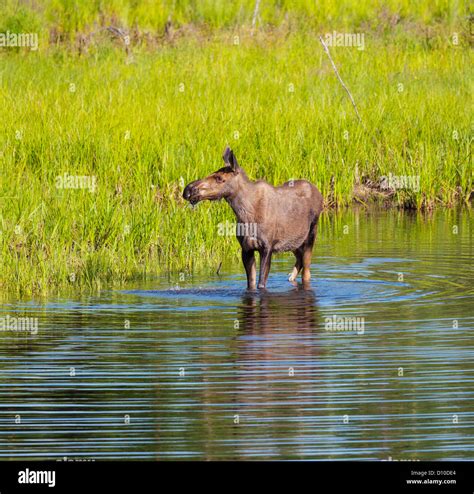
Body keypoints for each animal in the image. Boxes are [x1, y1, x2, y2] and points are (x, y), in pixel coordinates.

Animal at [183, 146, 324, 290]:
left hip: (311, 235)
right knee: (299, 261)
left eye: (219, 178)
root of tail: (319, 192)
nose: (188, 190)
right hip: (294, 242)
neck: (246, 217)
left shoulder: (267, 247)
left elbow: (261, 283)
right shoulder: (246, 248)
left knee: (307, 272)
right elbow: (251, 283)